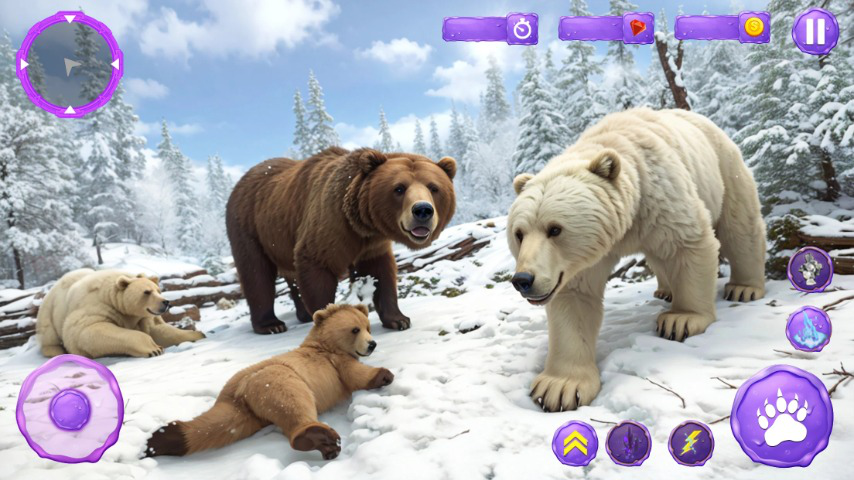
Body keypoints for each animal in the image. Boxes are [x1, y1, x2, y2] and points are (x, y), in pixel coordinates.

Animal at [36, 269, 205, 359]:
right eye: (146, 292)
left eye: (158, 290)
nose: (166, 302)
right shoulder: (97, 307)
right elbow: (89, 331)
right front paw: (154, 349)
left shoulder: (143, 316)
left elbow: (158, 330)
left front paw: (197, 334)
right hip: (49, 313)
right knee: (49, 336)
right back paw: (56, 351)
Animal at [145, 304, 394, 460]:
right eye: (355, 329)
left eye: (368, 326)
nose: (372, 344)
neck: (324, 345)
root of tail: (241, 392)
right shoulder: (334, 362)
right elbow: (354, 374)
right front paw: (385, 375)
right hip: (277, 379)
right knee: (293, 402)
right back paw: (319, 437)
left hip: (243, 409)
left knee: (222, 425)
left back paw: (161, 439)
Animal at [226, 147, 456, 334]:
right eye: (399, 188)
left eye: (433, 187)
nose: (422, 210)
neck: (360, 223)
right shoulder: (330, 226)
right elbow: (316, 268)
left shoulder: (372, 245)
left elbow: (380, 273)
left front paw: (399, 319)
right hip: (249, 227)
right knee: (256, 273)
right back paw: (271, 325)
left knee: (289, 275)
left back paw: (302, 314)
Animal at [507, 108, 766, 412]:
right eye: (519, 233)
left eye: (555, 229)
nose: (523, 280)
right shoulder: (581, 260)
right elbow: (575, 298)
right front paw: (559, 387)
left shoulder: (661, 197)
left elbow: (688, 244)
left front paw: (680, 320)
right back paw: (665, 290)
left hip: (722, 165)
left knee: (739, 223)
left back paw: (745, 287)